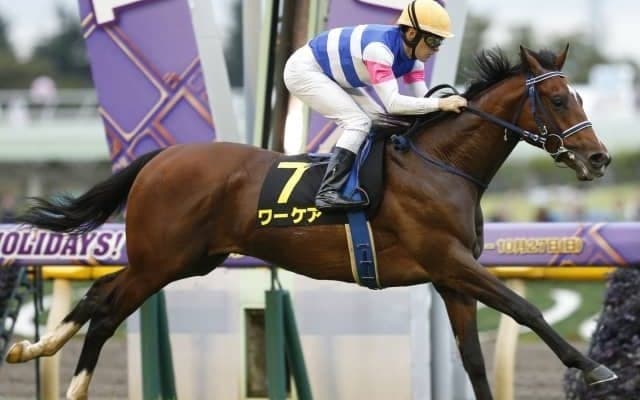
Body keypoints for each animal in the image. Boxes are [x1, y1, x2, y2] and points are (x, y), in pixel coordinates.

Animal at [6, 45, 614, 400]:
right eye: (558, 98)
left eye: (580, 95)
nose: (600, 157)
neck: (440, 164)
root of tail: (161, 157)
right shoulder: (450, 260)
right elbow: (525, 309)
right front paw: (593, 368)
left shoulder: (450, 277)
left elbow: (474, 360)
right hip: (163, 259)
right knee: (106, 308)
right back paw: (58, 374)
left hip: (186, 261)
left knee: (100, 297)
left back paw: (34, 354)